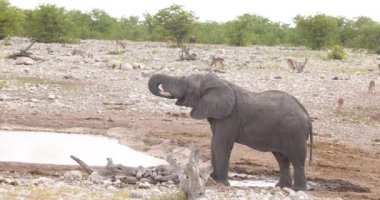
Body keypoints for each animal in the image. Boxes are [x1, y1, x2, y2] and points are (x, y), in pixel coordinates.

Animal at [148, 72, 312, 191]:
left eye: (187, 85)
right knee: (282, 158)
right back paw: (281, 187)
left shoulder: (230, 117)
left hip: (295, 132)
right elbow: (213, 145)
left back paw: (298, 189)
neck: (221, 82)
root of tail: (306, 113)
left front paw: (222, 183)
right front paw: (214, 179)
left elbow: (220, 145)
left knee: (296, 159)